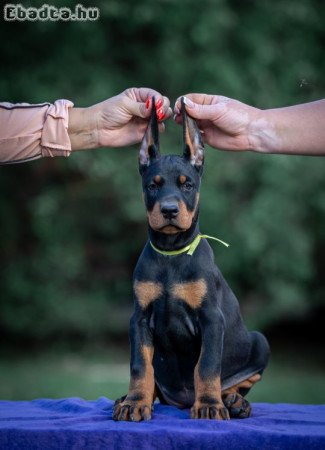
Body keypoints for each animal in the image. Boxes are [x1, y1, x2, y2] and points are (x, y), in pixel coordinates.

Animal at [112, 97, 270, 422]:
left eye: (187, 185)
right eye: (153, 185)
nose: (170, 210)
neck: (171, 252)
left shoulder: (211, 318)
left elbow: (207, 366)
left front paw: (209, 404)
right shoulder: (139, 318)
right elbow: (139, 366)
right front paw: (135, 402)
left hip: (260, 341)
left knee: (236, 381)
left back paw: (234, 401)